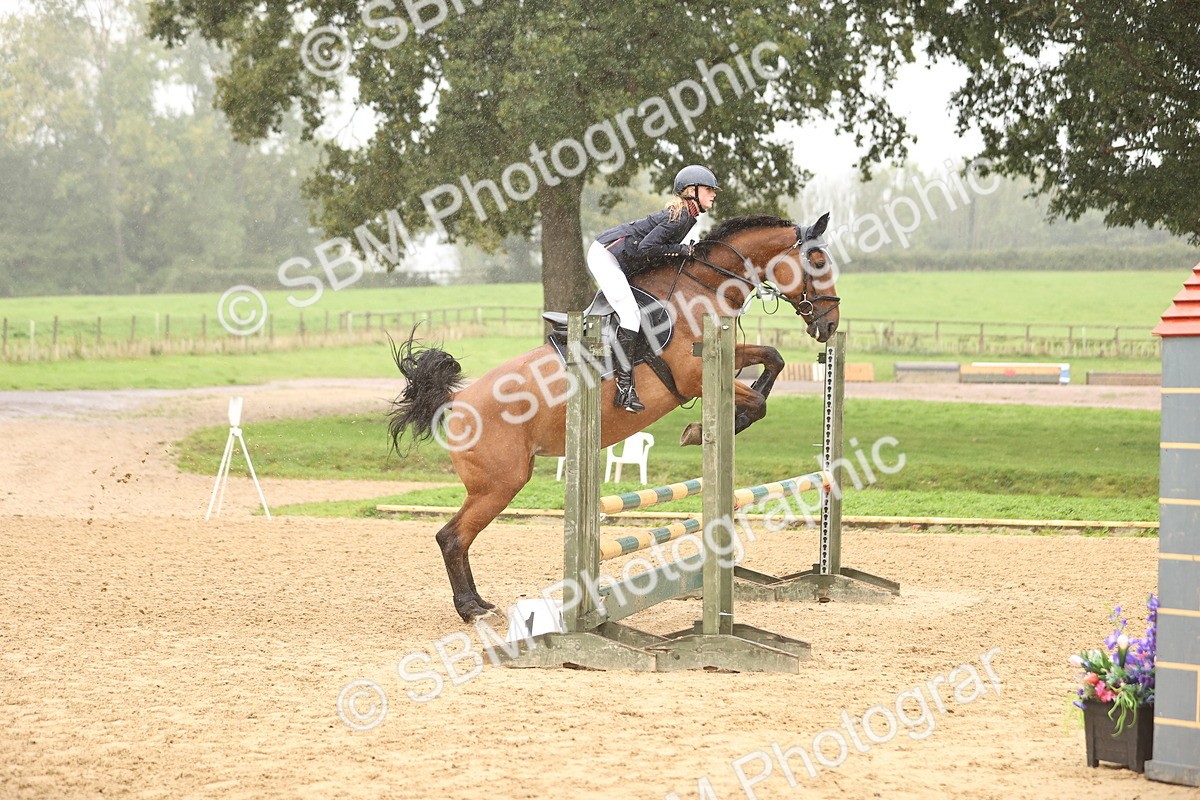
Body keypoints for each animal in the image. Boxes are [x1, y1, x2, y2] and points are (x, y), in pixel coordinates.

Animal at [389, 213, 840, 622]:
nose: (830, 324)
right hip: (499, 484)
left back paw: (479, 604)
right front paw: (703, 429)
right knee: (452, 537)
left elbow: (773, 359)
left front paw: (724, 419)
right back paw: (471, 609)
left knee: (456, 537)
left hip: (499, 483)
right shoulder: (692, 376)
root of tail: (454, 403)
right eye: (817, 260)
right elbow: (757, 402)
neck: (705, 286)